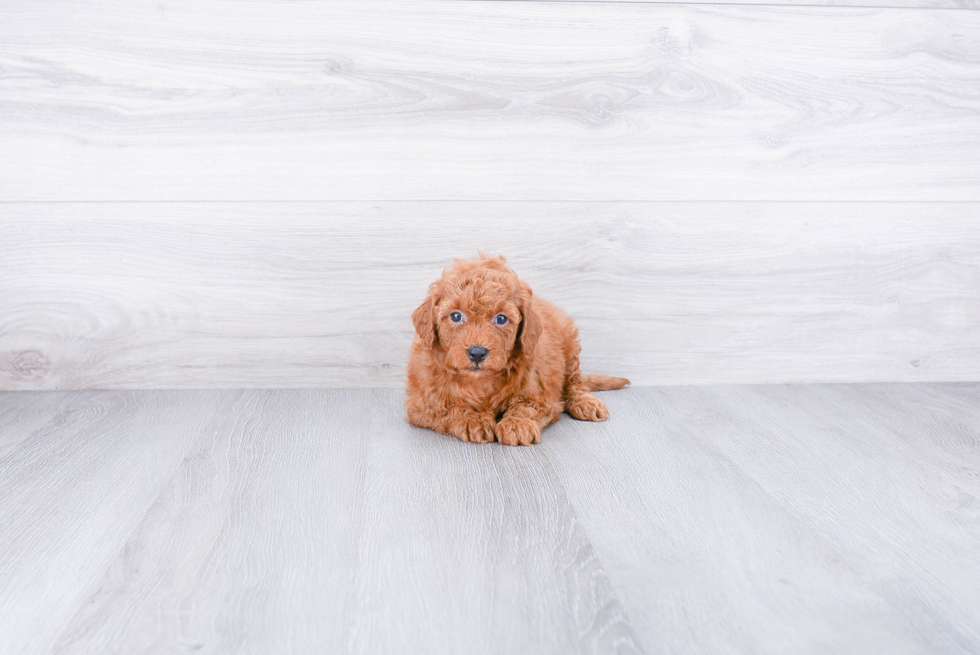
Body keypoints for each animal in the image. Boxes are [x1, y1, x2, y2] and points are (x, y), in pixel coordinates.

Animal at [404, 255, 628, 446]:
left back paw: (586, 402)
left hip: (570, 343)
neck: (481, 381)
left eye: (501, 319)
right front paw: (473, 420)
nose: (477, 352)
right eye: (456, 316)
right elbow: (448, 409)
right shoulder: (421, 404)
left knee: (575, 382)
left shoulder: (540, 391)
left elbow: (527, 406)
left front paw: (517, 425)